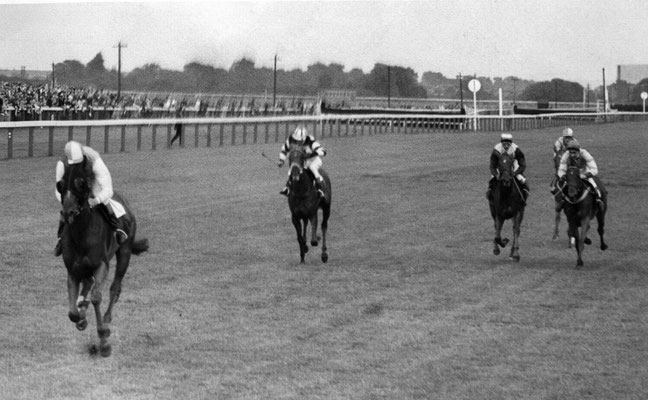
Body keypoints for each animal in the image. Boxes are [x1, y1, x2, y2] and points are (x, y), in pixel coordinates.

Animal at [57, 161, 149, 354]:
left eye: (81, 184)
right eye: (60, 185)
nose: (68, 212)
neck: (81, 235)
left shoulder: (101, 265)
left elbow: (96, 297)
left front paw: (104, 338)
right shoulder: (72, 270)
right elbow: (72, 313)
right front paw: (81, 318)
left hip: (124, 252)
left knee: (115, 288)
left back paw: (106, 319)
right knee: (88, 284)